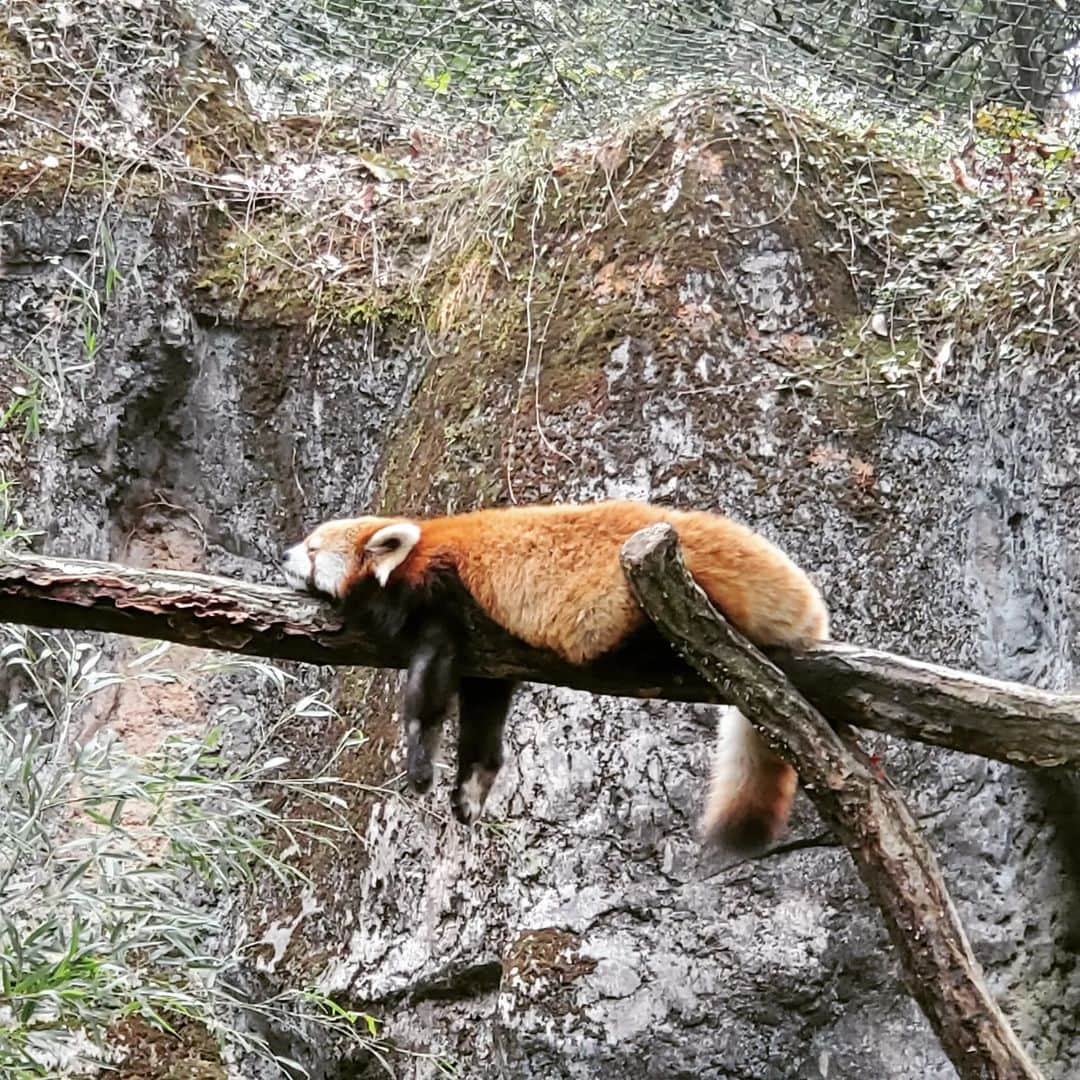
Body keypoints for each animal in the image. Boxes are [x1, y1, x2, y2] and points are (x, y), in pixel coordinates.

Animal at [280, 498, 825, 851]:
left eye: (312, 549)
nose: (284, 555)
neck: (420, 549)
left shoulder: (441, 596)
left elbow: (430, 688)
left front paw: (420, 757)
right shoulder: (488, 651)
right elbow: (485, 709)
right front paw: (473, 783)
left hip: (649, 602)